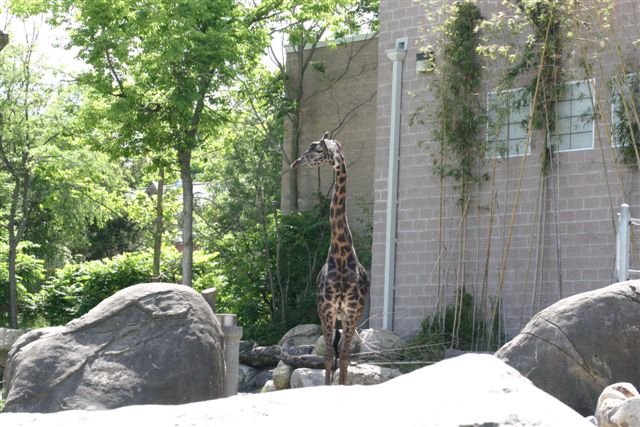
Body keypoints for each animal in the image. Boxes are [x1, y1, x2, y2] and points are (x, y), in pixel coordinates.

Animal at [291, 132, 370, 385]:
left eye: (317, 149)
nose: (296, 163)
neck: (341, 252)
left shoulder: (353, 311)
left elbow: (344, 357)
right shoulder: (325, 309)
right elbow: (327, 356)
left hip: (348, 316)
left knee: (341, 354)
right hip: (334, 315)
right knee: (332, 352)